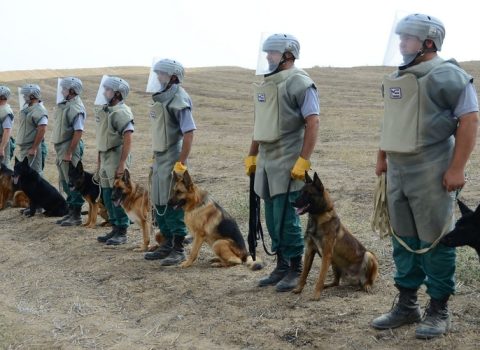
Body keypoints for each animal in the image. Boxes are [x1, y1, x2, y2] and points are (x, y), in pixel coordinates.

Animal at [292, 171, 378, 300]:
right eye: (300, 192)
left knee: (369, 280)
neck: (318, 217)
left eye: (308, 193)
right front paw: (299, 289)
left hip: (368, 255)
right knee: (336, 282)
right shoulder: (309, 251)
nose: (292, 202)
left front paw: (316, 294)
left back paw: (367, 285)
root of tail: (356, 280)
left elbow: (320, 277)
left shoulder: (326, 254)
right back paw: (327, 285)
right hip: (334, 262)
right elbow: (303, 274)